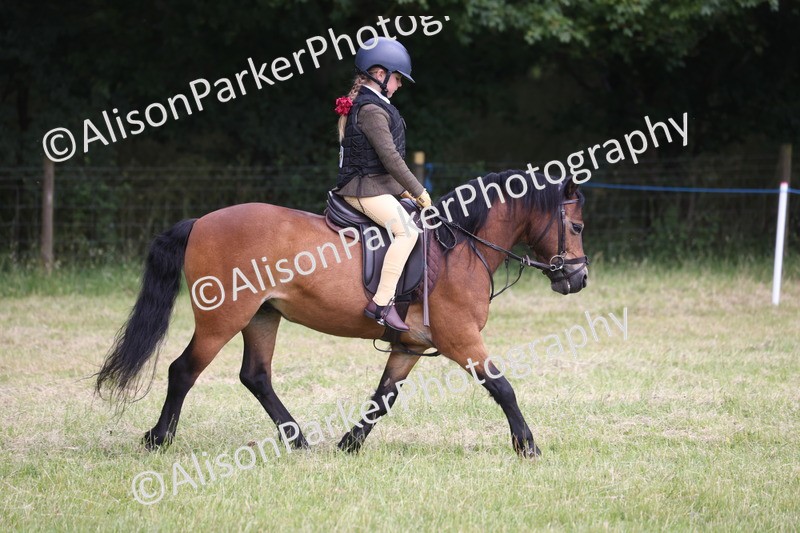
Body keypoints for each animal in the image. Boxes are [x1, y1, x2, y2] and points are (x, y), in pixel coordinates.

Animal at [95, 169, 589, 457]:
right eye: (578, 225)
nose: (578, 277)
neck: (460, 248)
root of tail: (200, 221)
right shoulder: (460, 338)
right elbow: (502, 386)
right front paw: (527, 445)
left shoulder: (410, 346)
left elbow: (382, 399)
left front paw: (349, 443)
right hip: (223, 320)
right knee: (183, 370)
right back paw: (159, 439)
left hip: (262, 317)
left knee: (256, 376)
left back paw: (298, 440)